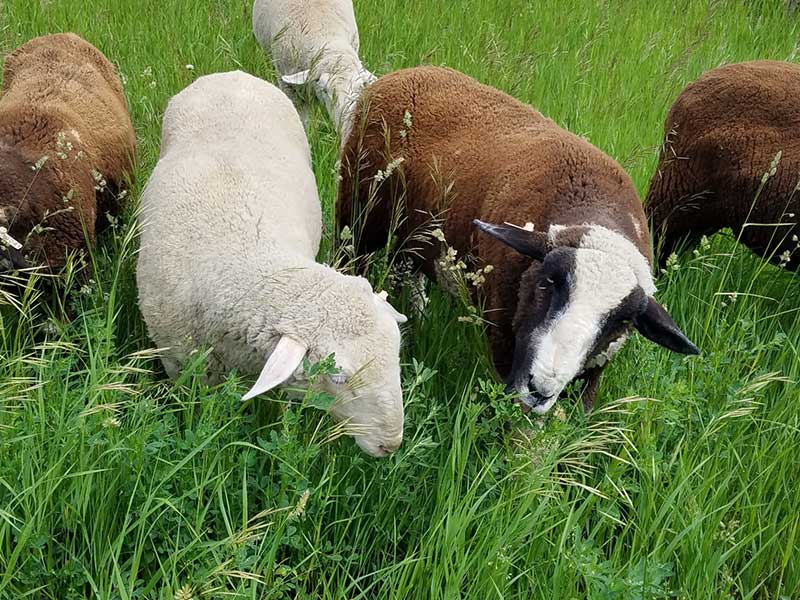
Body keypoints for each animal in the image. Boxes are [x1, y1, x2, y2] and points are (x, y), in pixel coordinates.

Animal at [337, 66, 699, 414]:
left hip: (412, 233)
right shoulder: (502, 335)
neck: (591, 201)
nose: (540, 388)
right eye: (548, 283)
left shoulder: (597, 365)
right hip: (356, 212)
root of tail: (403, 75)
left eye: (621, 320)